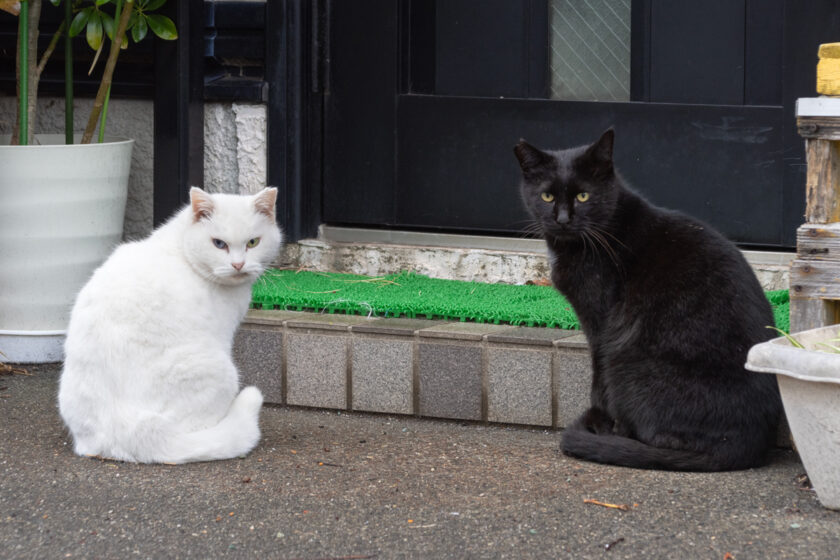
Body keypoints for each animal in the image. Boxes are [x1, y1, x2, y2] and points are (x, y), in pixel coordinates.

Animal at [58, 188, 286, 464]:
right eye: (219, 244)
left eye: (253, 243)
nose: (238, 264)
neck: (182, 249)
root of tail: (125, 430)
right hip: (221, 371)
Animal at [516, 129, 784, 470]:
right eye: (547, 197)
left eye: (584, 196)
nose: (563, 219)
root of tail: (746, 444)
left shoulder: (600, 323)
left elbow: (597, 374)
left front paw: (601, 419)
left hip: (627, 360)